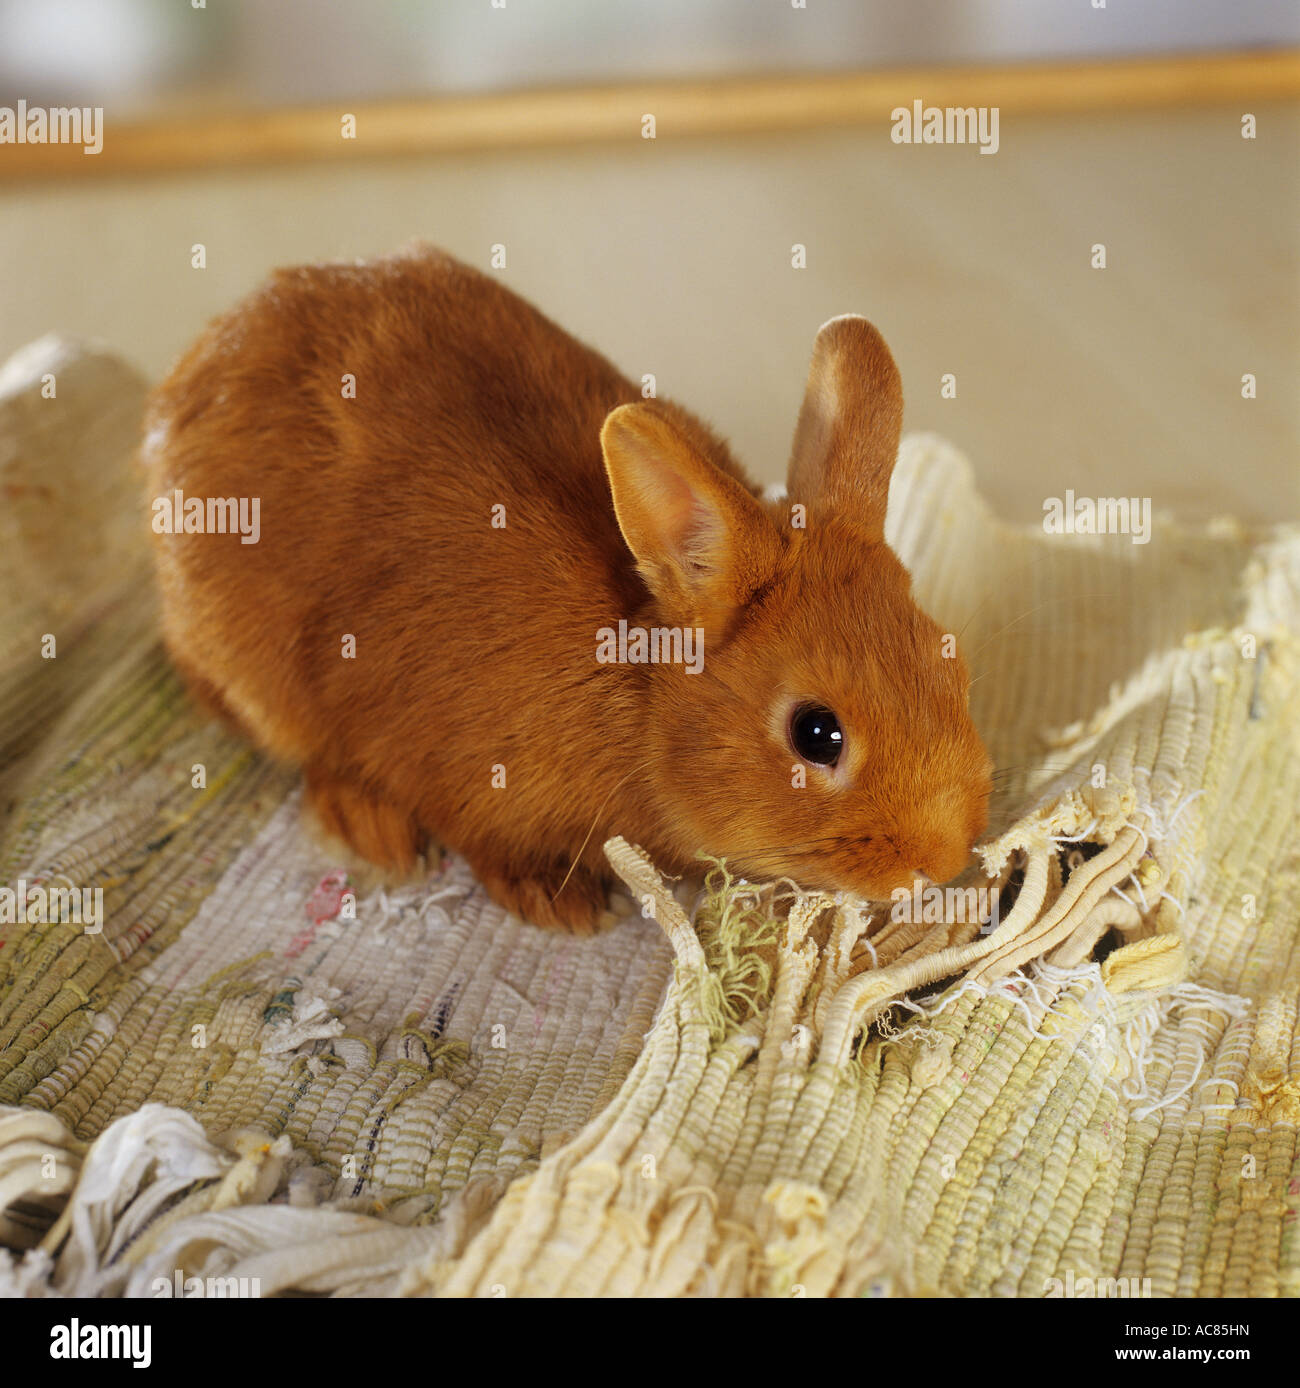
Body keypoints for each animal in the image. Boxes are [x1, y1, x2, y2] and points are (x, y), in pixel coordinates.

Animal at [142, 244, 992, 932]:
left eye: (952, 667)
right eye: (816, 734)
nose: (941, 861)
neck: (643, 689)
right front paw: (562, 903)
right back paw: (367, 826)